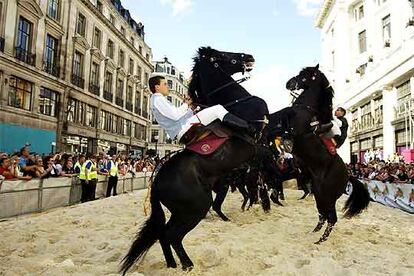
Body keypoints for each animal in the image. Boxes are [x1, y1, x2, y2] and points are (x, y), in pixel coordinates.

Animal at [119, 47, 268, 274]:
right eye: (222, 56)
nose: (248, 57)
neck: (237, 104)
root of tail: (157, 183)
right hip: (195, 208)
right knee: (172, 235)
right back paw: (187, 264)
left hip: (181, 212)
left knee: (164, 234)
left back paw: (172, 265)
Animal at [266, 66, 370, 244]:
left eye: (304, 76)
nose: (289, 83)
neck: (305, 109)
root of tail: (348, 175)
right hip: (319, 194)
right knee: (323, 215)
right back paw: (313, 233)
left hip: (327, 196)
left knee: (331, 218)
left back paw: (321, 240)